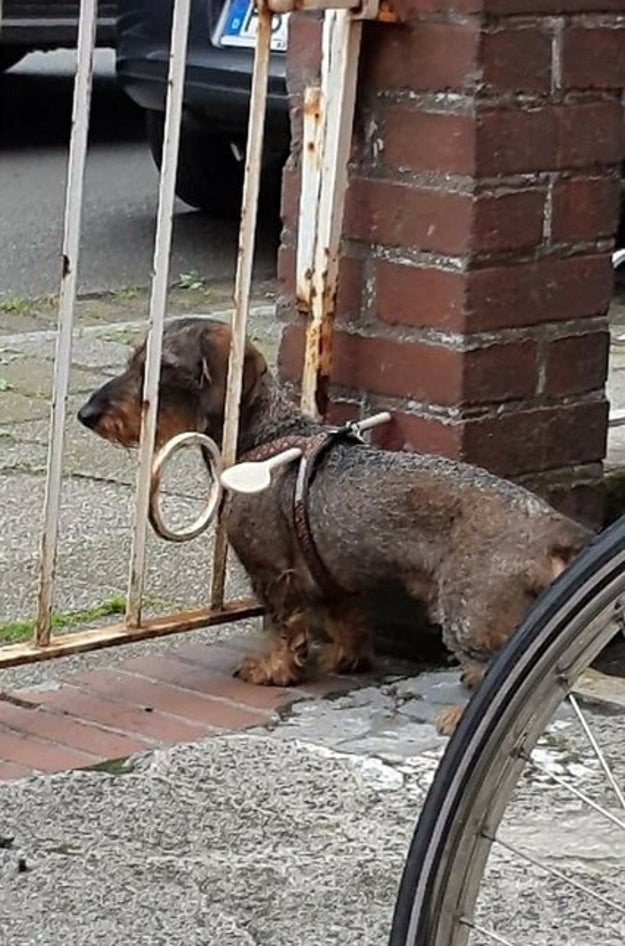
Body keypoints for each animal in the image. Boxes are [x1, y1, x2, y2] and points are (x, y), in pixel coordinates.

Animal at [78, 318, 588, 732]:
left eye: (160, 369)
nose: (87, 415)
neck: (267, 435)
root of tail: (554, 525)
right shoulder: (333, 573)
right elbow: (347, 619)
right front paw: (348, 659)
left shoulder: (272, 571)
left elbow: (283, 625)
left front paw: (273, 669)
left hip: (467, 614)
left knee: (501, 666)